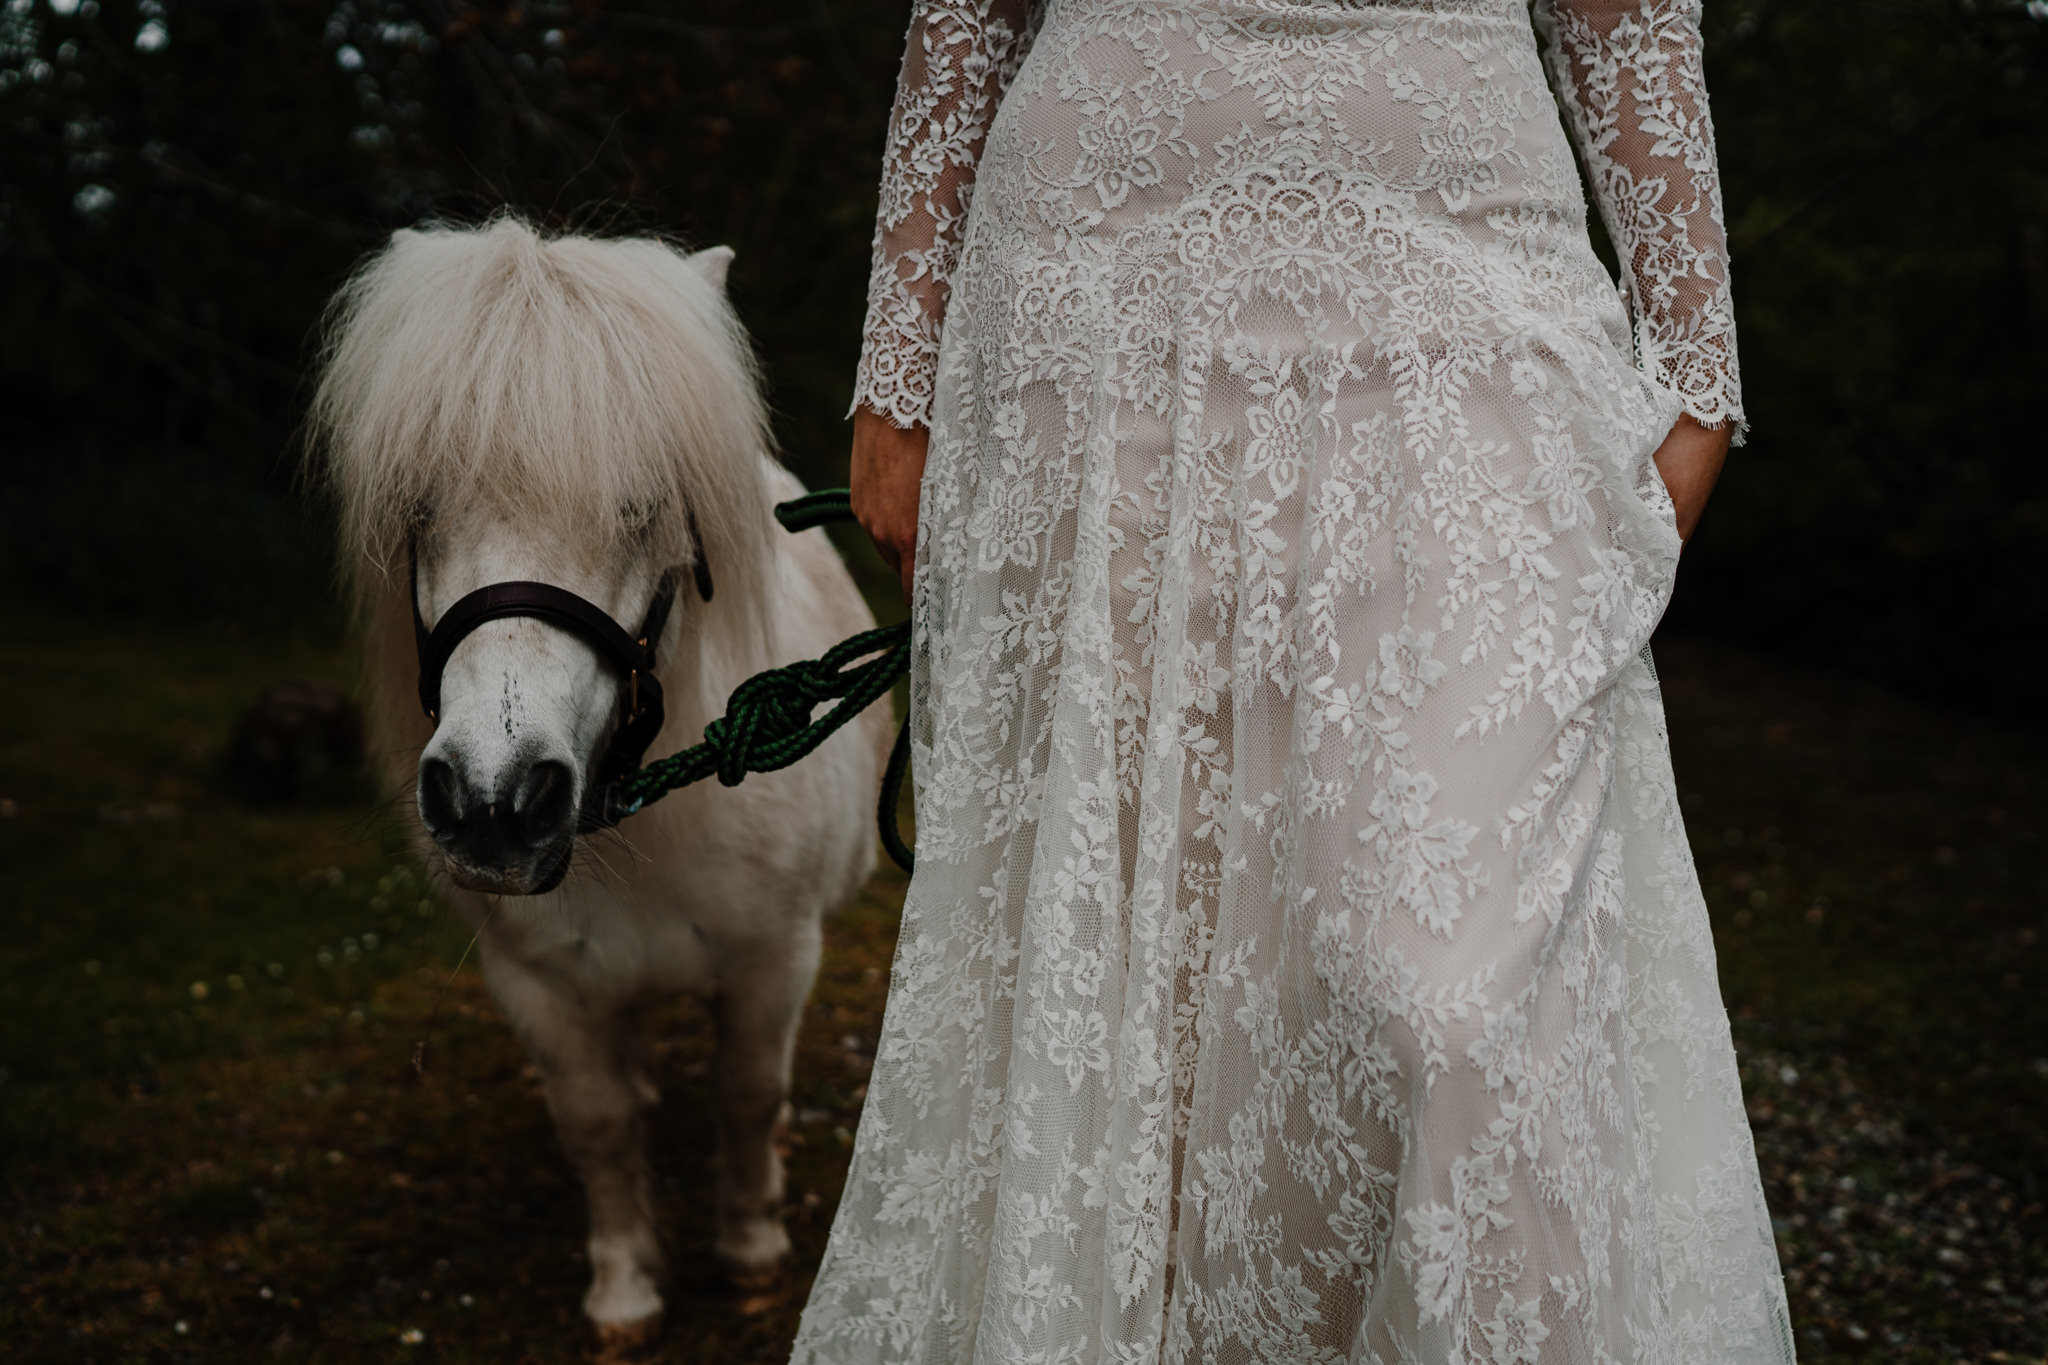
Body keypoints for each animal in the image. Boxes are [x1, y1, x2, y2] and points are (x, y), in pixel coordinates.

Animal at [311, 218, 888, 1350]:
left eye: (642, 508)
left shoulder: (774, 958)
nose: (494, 803)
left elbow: (749, 1094)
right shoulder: (535, 984)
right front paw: (625, 1287)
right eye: (421, 507)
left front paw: (749, 1246)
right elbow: (597, 1122)